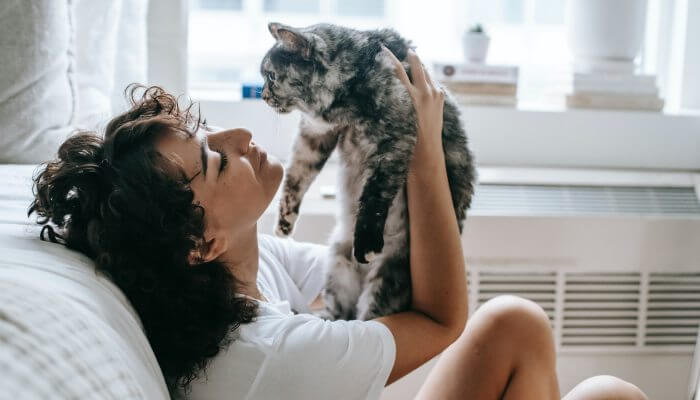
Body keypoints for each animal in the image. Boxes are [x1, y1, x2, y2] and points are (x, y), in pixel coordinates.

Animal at [262, 22, 476, 322]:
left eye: (270, 76)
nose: (263, 95)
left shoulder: (396, 138)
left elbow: (375, 194)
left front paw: (366, 243)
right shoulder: (314, 134)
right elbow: (297, 175)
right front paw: (284, 221)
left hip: (387, 277)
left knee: (368, 316)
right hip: (337, 264)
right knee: (343, 315)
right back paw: (322, 318)